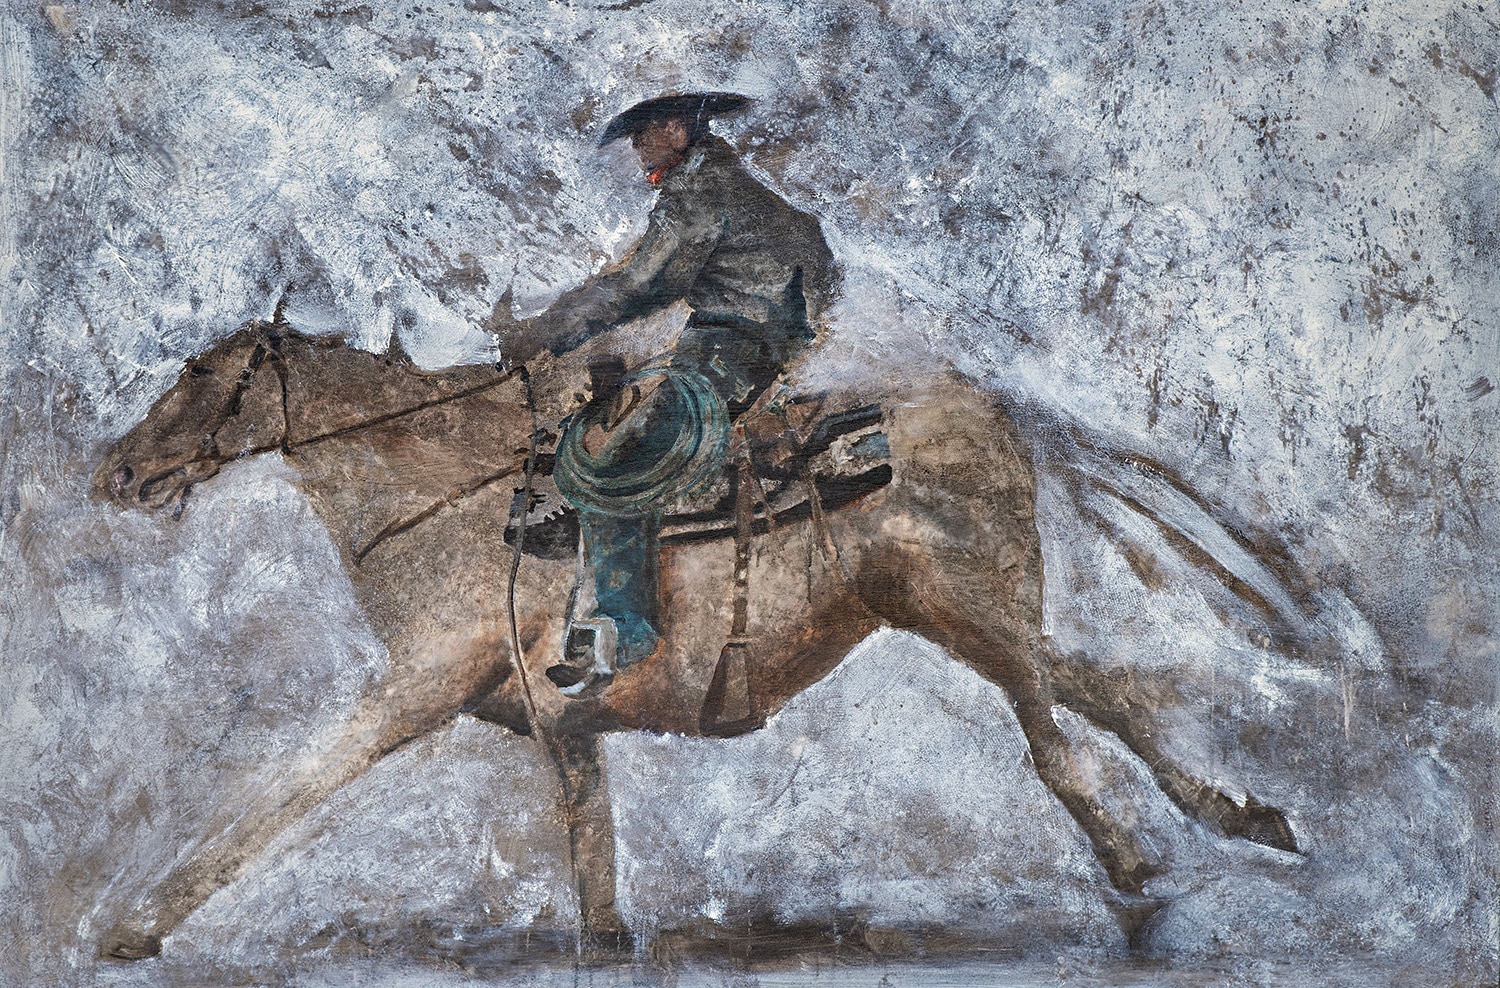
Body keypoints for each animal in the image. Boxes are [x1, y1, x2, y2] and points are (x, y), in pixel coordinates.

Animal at [91, 320, 1300, 961]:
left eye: (200, 378)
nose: (120, 470)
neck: (451, 497)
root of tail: (985, 404)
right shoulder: (563, 726)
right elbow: (591, 848)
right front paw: (606, 939)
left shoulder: (411, 692)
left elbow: (285, 788)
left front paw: (139, 924)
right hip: (969, 610)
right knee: (1099, 685)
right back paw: (1240, 814)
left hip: (965, 605)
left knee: (1056, 733)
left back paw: (1144, 861)